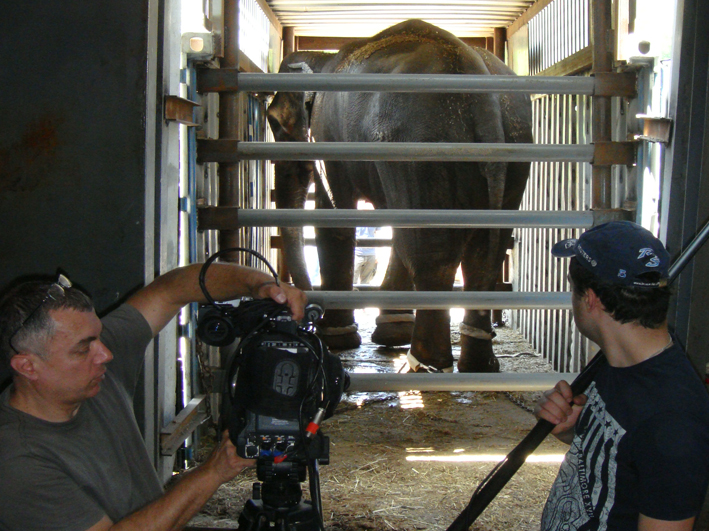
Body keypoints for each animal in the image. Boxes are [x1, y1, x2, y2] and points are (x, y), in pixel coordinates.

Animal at [266, 18, 532, 372]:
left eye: (274, 122)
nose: (309, 321)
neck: (324, 59)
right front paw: (390, 333)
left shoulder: (328, 136)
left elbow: (334, 216)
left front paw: (338, 339)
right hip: (515, 144)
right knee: (485, 249)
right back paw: (479, 365)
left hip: (420, 144)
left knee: (432, 253)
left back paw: (424, 362)